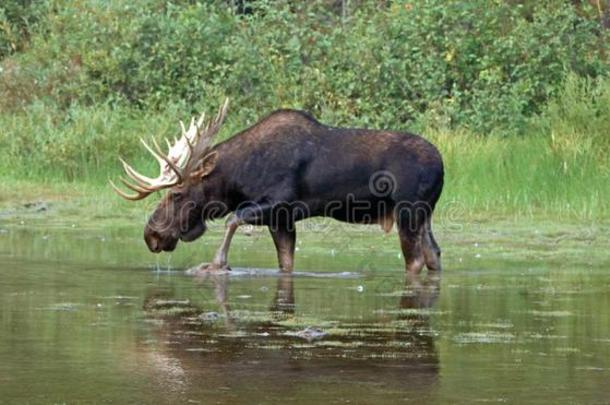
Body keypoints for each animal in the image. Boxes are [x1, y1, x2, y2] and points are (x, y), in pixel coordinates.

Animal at [110, 99, 442, 274]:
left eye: (177, 193)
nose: (151, 234)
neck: (237, 178)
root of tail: (443, 166)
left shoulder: (279, 203)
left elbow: (233, 219)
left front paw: (216, 265)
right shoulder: (281, 220)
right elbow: (285, 263)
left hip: (408, 212)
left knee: (414, 261)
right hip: (425, 214)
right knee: (434, 255)